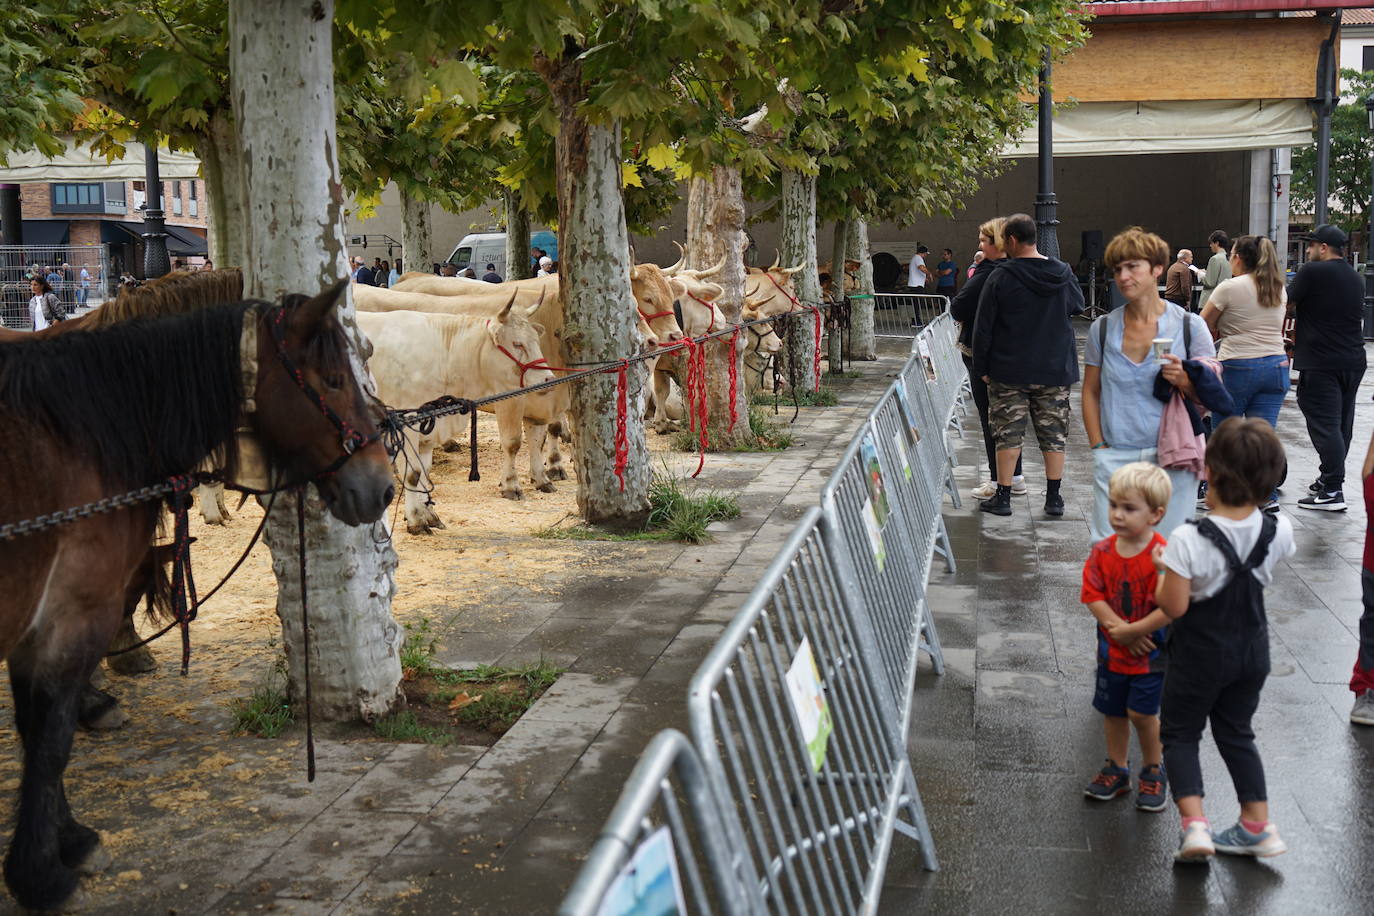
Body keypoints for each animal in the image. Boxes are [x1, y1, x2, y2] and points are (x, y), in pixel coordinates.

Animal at [0, 280, 395, 911]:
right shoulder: (71, 611)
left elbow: (35, 729)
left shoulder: (35, 623)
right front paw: (41, 872)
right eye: (334, 378)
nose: (381, 487)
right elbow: (50, 736)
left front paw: (66, 839)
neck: (81, 433)